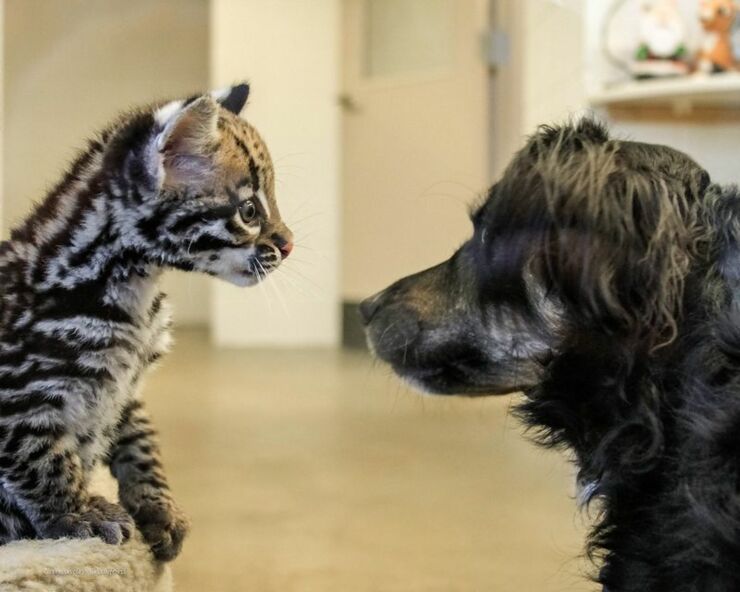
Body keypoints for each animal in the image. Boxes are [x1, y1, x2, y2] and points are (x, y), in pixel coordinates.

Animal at [0, 82, 292, 560]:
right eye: (249, 211)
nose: (289, 245)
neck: (135, 293)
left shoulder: (128, 389)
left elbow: (141, 443)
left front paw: (158, 506)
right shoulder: (20, 398)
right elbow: (42, 460)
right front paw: (78, 514)